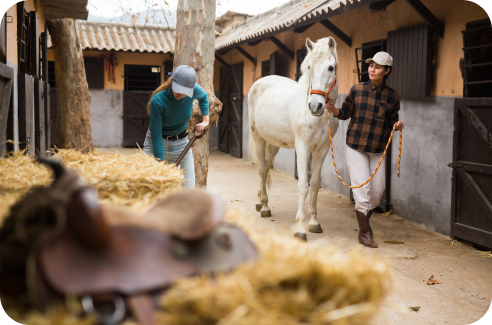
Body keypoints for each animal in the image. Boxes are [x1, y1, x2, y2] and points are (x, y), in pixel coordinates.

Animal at [250, 36, 338, 239]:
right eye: (309, 67)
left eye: (331, 67)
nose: (315, 106)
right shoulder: (303, 147)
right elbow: (303, 186)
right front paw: (300, 229)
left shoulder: (322, 150)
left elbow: (315, 185)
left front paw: (314, 223)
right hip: (258, 138)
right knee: (262, 169)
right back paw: (265, 207)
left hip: (274, 144)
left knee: (266, 166)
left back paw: (260, 201)